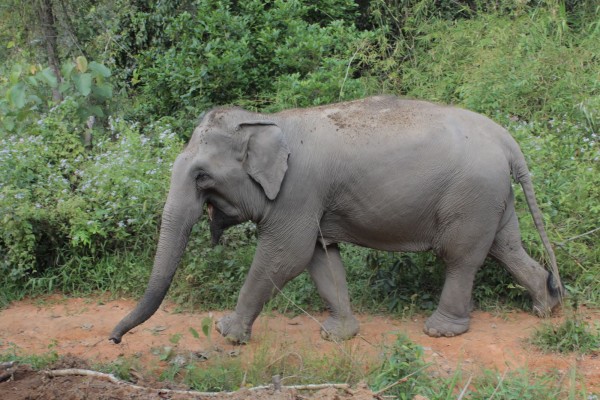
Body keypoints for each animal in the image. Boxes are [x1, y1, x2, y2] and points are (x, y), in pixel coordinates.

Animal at [110, 96, 564, 344]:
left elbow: (285, 255)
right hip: (493, 196)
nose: (114, 338)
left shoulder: (297, 191)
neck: (266, 120)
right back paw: (545, 306)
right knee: (506, 247)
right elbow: (321, 257)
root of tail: (507, 139)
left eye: (202, 176)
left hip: (471, 196)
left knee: (461, 257)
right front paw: (339, 335)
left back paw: (440, 331)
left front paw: (228, 333)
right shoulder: (310, 201)